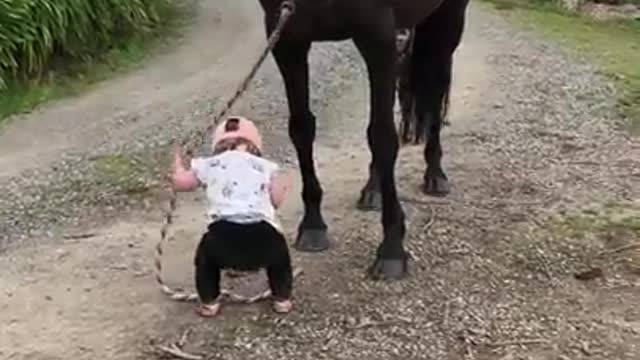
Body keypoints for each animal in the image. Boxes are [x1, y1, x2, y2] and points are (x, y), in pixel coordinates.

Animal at [258, 0, 472, 280]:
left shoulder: (377, 35)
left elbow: (382, 136)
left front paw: (391, 250)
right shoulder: (288, 37)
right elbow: (302, 129)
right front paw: (313, 225)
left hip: (448, 21)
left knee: (434, 95)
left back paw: (435, 177)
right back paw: (373, 189)